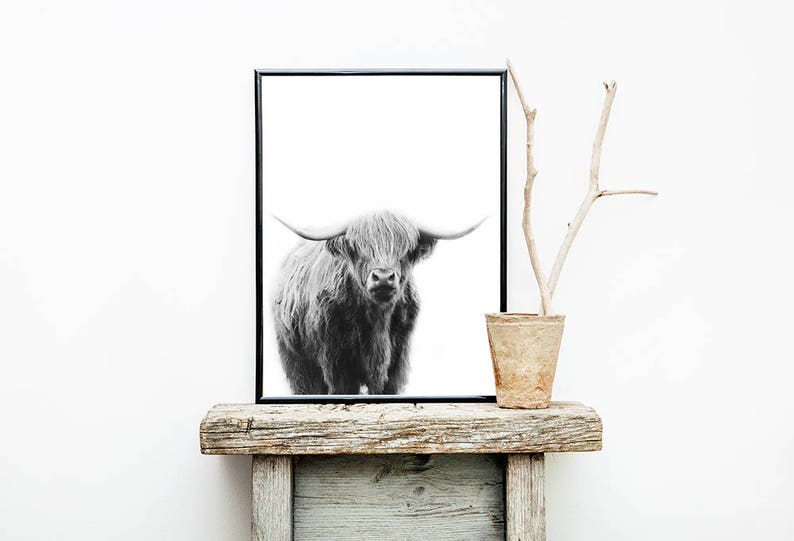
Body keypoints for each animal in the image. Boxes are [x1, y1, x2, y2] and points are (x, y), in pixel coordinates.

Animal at [271, 210, 483, 395]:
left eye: (406, 250)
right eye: (358, 248)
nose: (383, 278)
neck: (378, 321)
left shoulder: (397, 362)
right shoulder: (336, 362)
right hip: (296, 360)